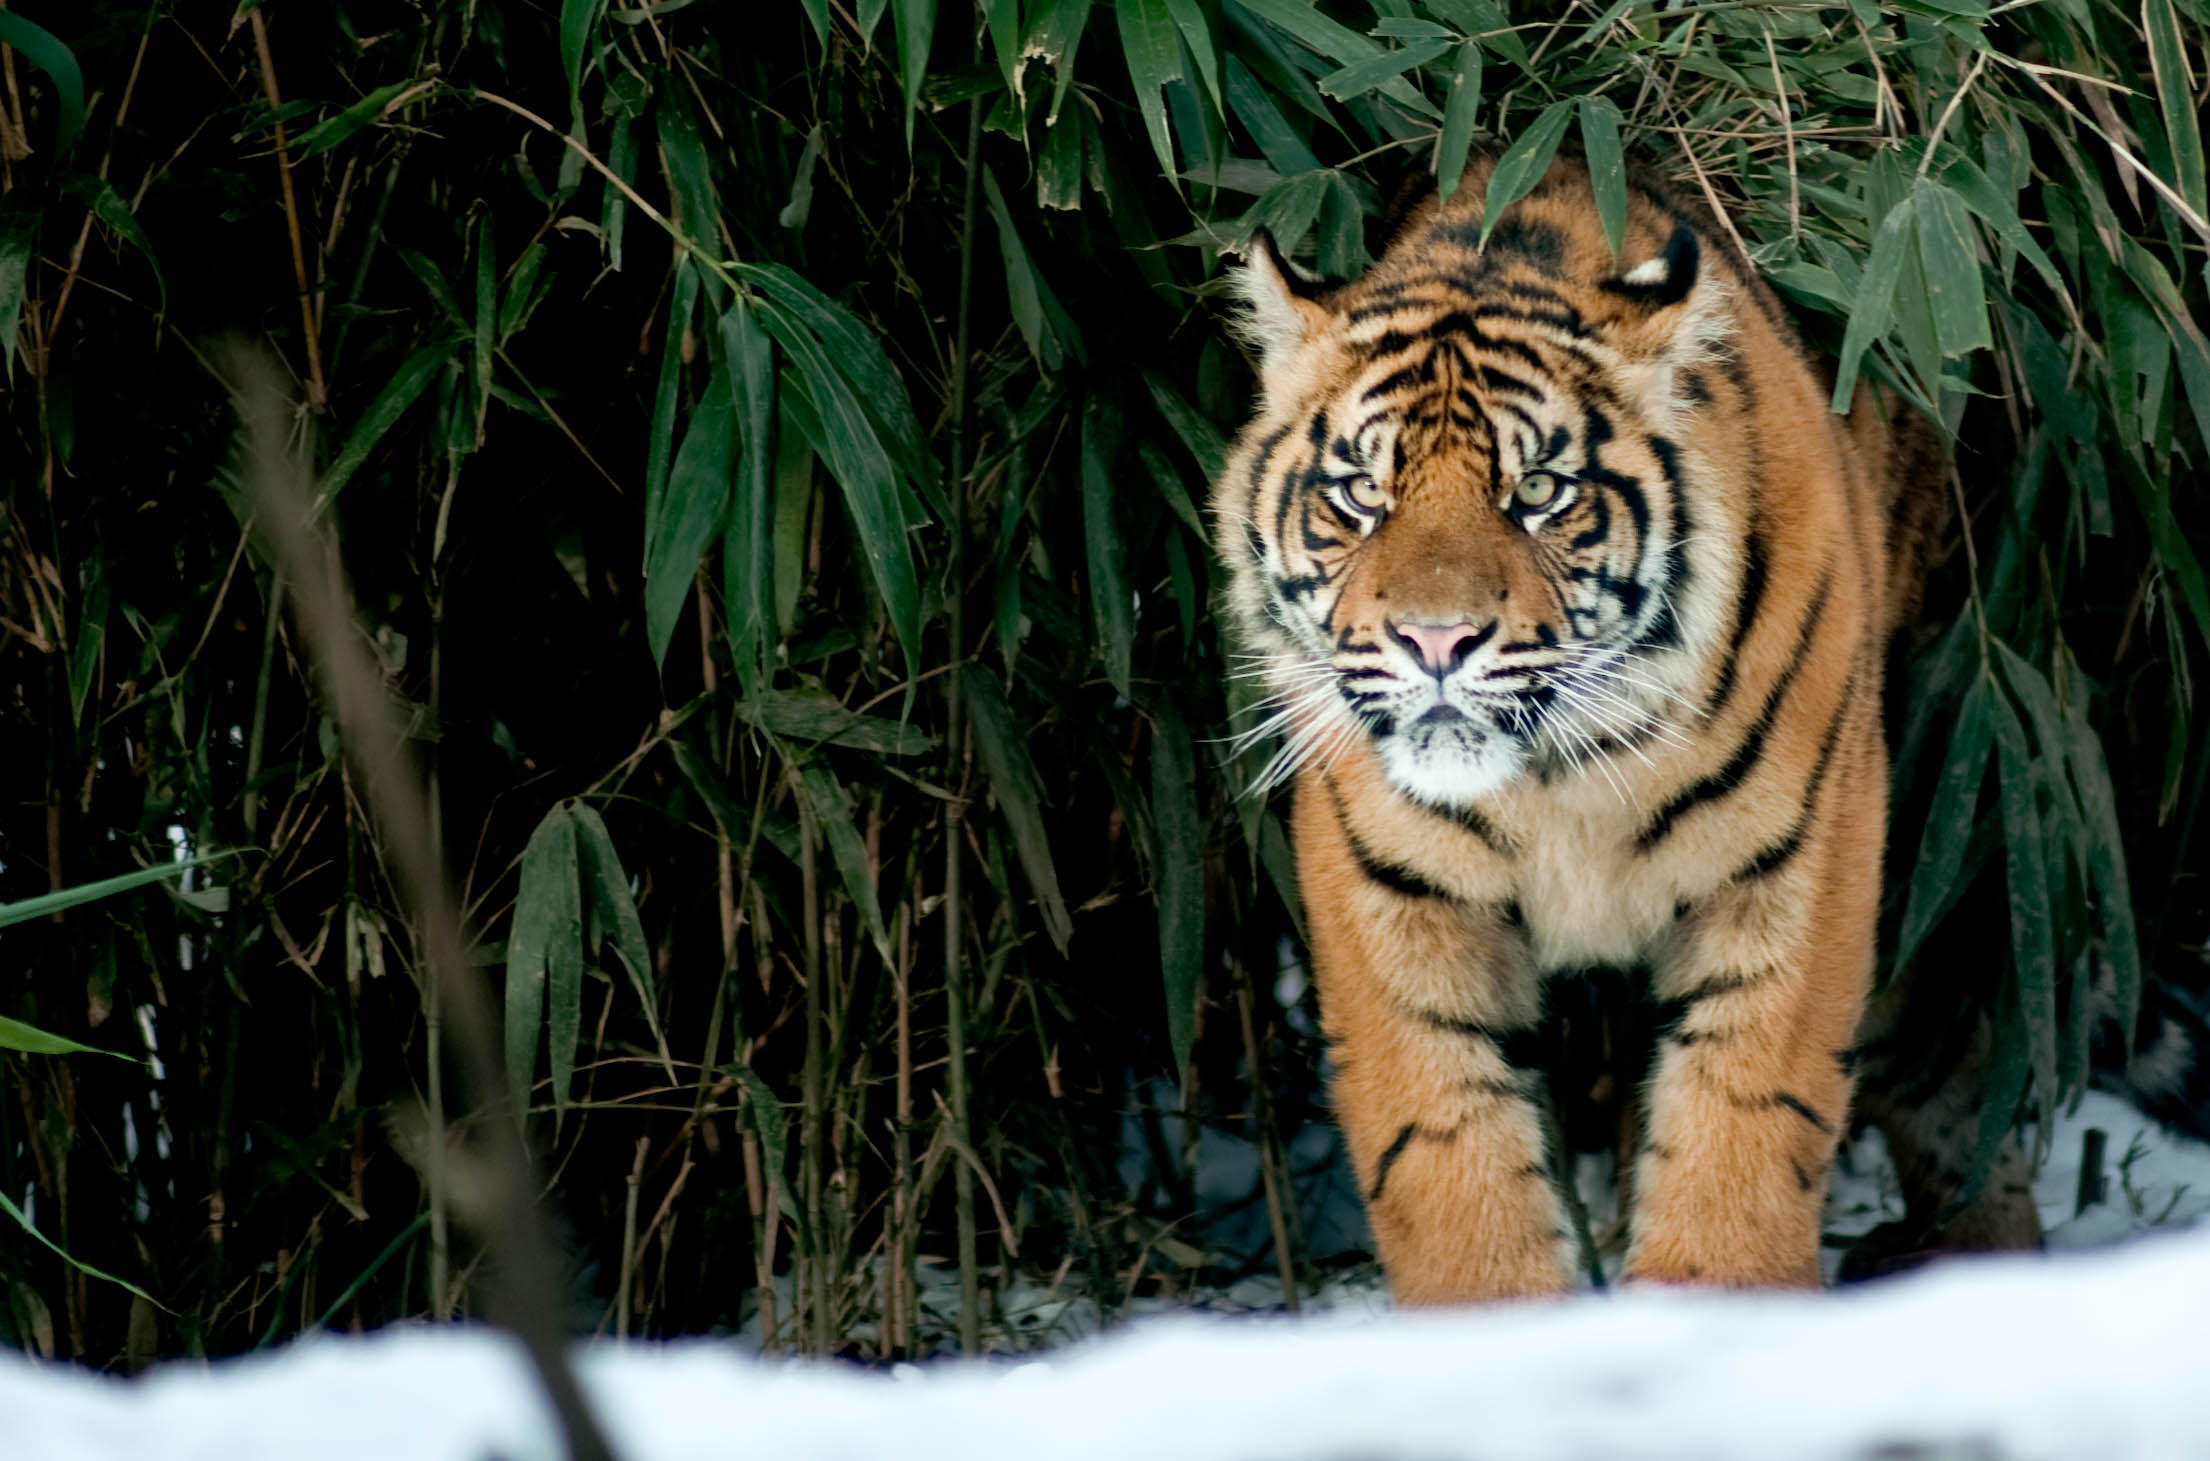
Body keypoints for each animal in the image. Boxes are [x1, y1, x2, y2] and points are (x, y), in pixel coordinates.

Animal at [1211, 153, 1953, 1308]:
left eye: (1538, 492)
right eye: (1361, 494)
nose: (1433, 639)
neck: (1558, 775)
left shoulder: (1799, 865)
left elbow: (1743, 1124)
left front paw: (1716, 1302)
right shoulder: (1389, 897)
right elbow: (1446, 1154)